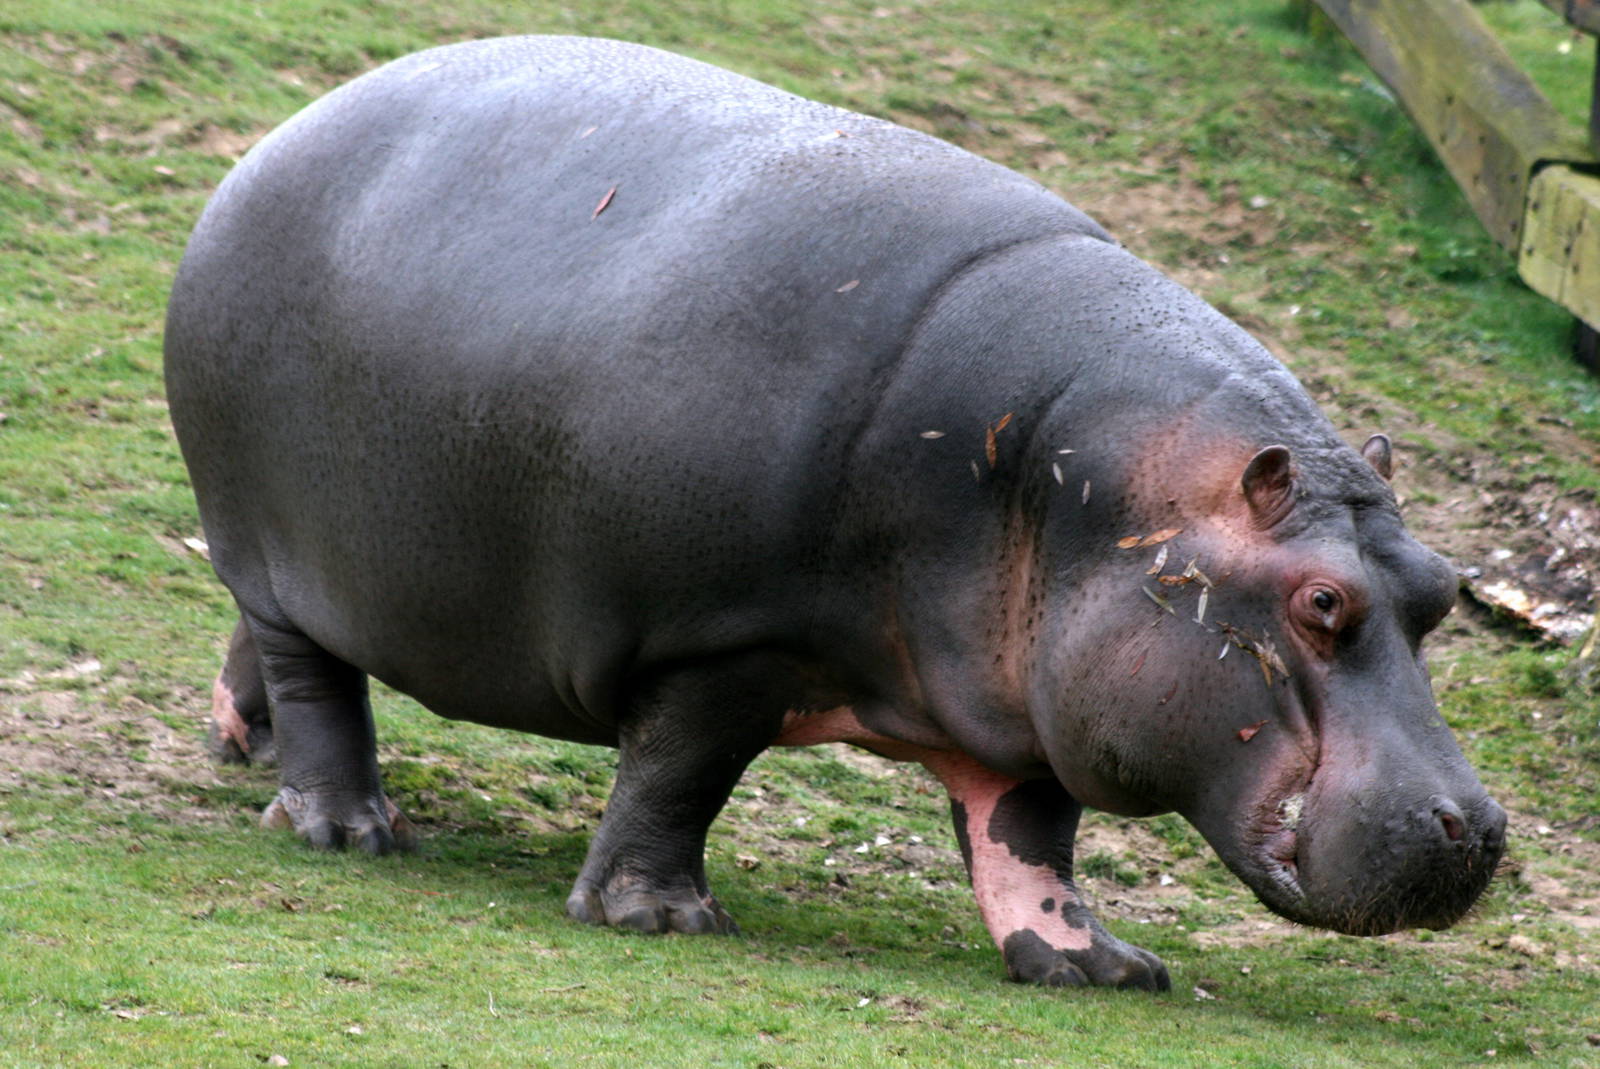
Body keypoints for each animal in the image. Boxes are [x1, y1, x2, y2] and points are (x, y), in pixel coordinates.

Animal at [164, 35, 1506, 991]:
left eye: (1441, 587)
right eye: (1320, 601)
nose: (1479, 826)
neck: (1075, 469)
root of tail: (289, 129)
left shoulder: (1029, 700)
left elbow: (1031, 841)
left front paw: (1103, 970)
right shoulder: (724, 640)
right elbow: (679, 775)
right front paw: (661, 919)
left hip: (307, 558)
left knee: (283, 646)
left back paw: (252, 750)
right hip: (264, 527)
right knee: (317, 678)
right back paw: (348, 829)